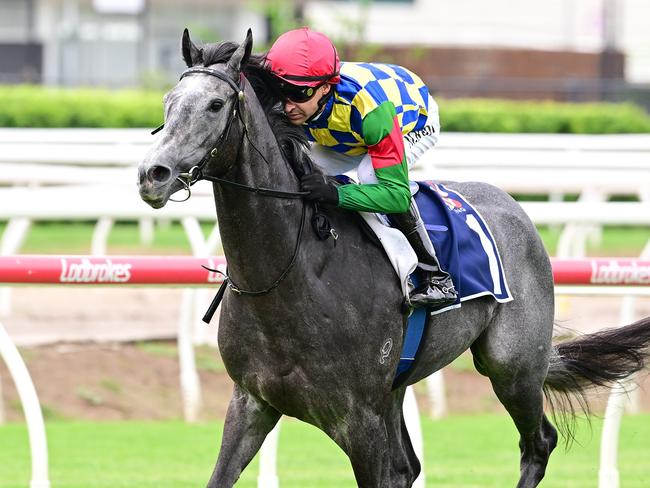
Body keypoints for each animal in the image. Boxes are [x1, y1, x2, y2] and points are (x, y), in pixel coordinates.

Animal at [137, 31, 648, 488]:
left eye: (215, 105)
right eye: (168, 101)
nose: (152, 174)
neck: (289, 277)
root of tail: (514, 206)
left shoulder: (358, 417)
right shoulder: (252, 402)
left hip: (514, 365)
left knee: (538, 443)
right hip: (401, 386)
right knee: (410, 466)